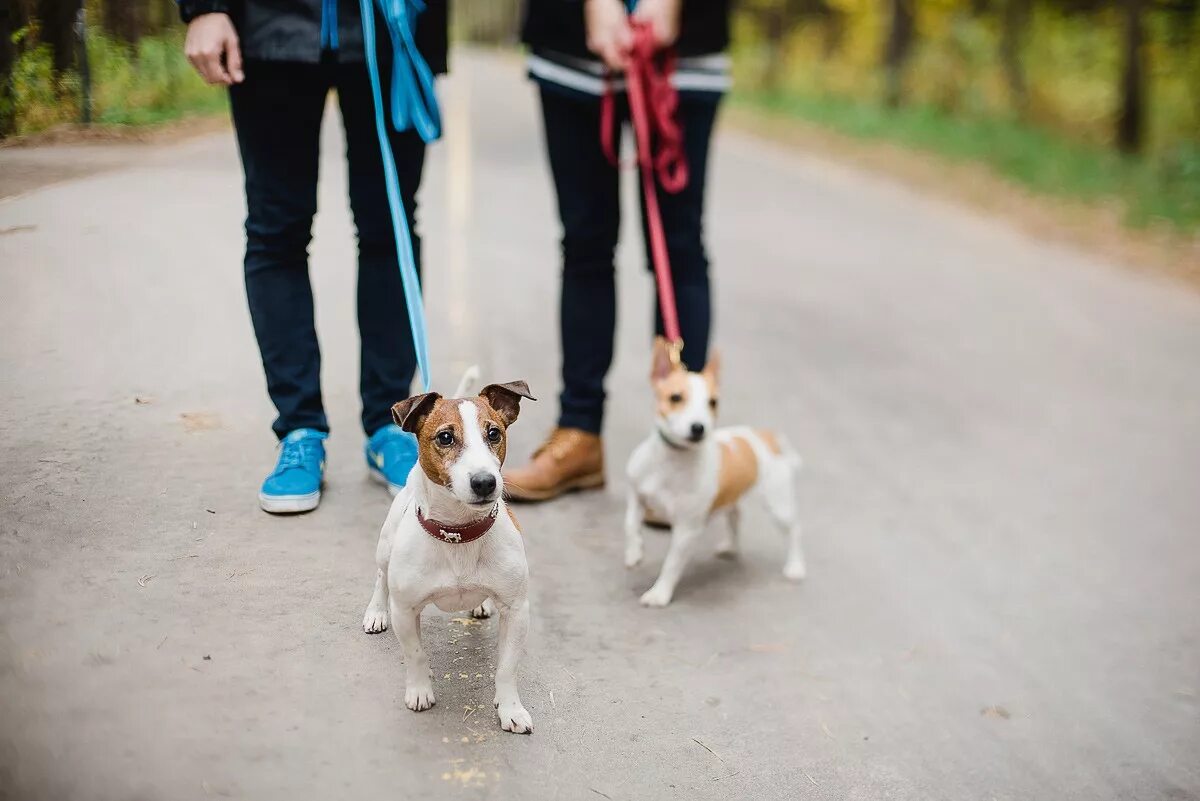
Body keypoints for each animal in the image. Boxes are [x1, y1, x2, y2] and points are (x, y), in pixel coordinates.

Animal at [362, 369, 537, 733]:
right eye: (445, 437)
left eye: (494, 433)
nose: (485, 482)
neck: (459, 533)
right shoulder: (405, 610)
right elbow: (415, 655)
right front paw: (420, 691)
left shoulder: (516, 611)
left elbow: (507, 668)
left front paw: (510, 708)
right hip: (385, 547)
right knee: (381, 577)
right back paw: (375, 612)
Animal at [619, 338, 806, 606]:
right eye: (675, 398)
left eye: (713, 402)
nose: (699, 428)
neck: (671, 460)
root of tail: (765, 436)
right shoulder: (636, 496)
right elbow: (630, 525)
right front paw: (634, 553)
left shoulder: (686, 531)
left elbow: (671, 565)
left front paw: (659, 594)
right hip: (733, 498)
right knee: (735, 516)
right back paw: (730, 546)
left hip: (778, 503)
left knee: (794, 531)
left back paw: (795, 567)